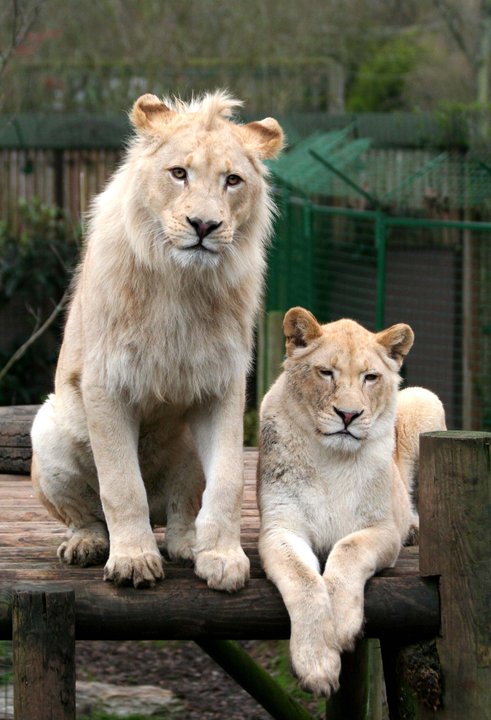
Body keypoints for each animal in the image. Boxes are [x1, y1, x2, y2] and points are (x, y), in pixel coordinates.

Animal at [30, 91, 284, 591]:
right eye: (179, 173)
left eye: (232, 180)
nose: (204, 225)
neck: (181, 284)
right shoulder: (105, 383)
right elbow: (121, 484)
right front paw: (132, 561)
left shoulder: (222, 386)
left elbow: (229, 479)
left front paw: (223, 556)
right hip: (46, 429)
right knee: (89, 515)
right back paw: (87, 545)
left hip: (185, 461)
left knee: (181, 509)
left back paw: (188, 544)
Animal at [257, 307, 446, 695]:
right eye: (325, 372)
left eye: (370, 377)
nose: (348, 415)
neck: (332, 458)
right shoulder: (280, 529)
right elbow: (304, 581)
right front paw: (317, 664)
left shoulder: (382, 529)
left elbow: (348, 550)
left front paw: (342, 623)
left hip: (424, 400)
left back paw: (414, 529)